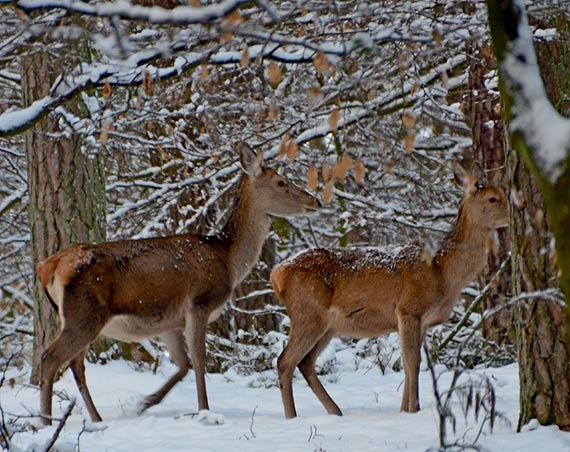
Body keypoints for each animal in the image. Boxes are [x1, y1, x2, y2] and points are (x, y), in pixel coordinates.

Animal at [36, 144, 320, 424]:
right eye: (281, 182)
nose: (314, 200)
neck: (227, 259)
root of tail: (47, 267)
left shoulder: (168, 321)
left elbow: (183, 365)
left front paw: (145, 402)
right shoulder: (200, 303)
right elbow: (199, 359)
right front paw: (204, 411)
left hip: (78, 318)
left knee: (75, 364)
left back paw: (96, 418)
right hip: (84, 315)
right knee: (50, 358)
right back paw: (45, 421)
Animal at [270, 161, 506, 418]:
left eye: (504, 193)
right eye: (493, 198)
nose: (516, 209)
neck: (443, 271)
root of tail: (278, 272)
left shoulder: (421, 320)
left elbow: (408, 363)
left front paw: (404, 411)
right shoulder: (409, 308)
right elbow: (413, 362)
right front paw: (414, 410)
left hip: (328, 325)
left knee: (306, 362)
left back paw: (335, 411)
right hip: (307, 313)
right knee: (285, 361)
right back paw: (292, 417)